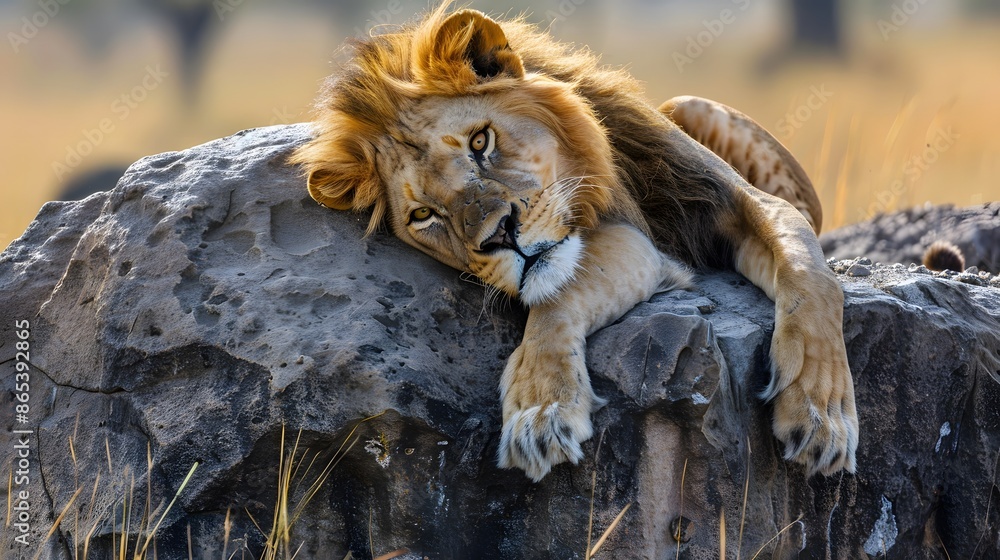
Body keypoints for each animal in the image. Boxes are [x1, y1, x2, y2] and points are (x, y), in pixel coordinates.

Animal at [291, 3, 858, 481]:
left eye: (480, 141)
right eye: (424, 215)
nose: (499, 235)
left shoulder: (736, 199)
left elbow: (810, 278)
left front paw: (821, 414)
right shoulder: (644, 245)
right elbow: (559, 293)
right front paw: (543, 408)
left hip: (692, 104)